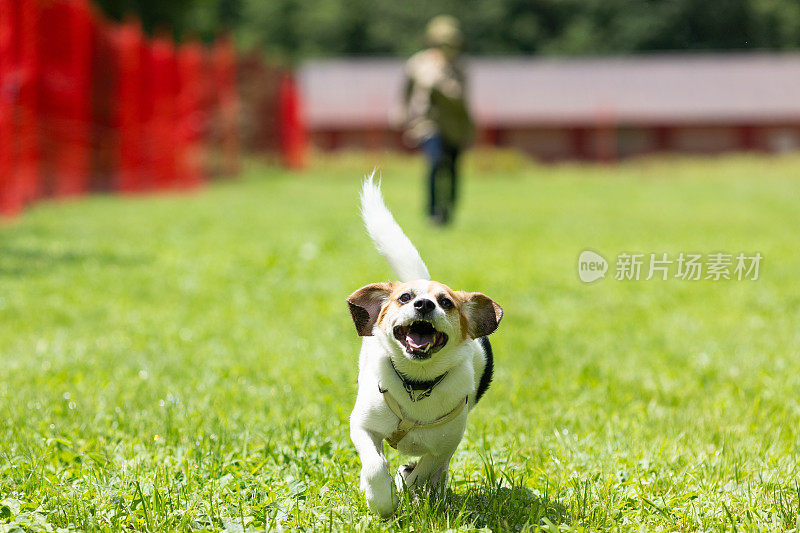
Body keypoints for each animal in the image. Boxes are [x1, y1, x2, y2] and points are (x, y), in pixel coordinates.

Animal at [348, 176, 504, 516]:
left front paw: (407, 481)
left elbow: (427, 466)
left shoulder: (446, 442)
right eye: (404, 298)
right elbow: (374, 465)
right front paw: (382, 500)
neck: (416, 385)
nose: (423, 304)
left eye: (446, 302)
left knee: (435, 469)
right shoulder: (363, 426)